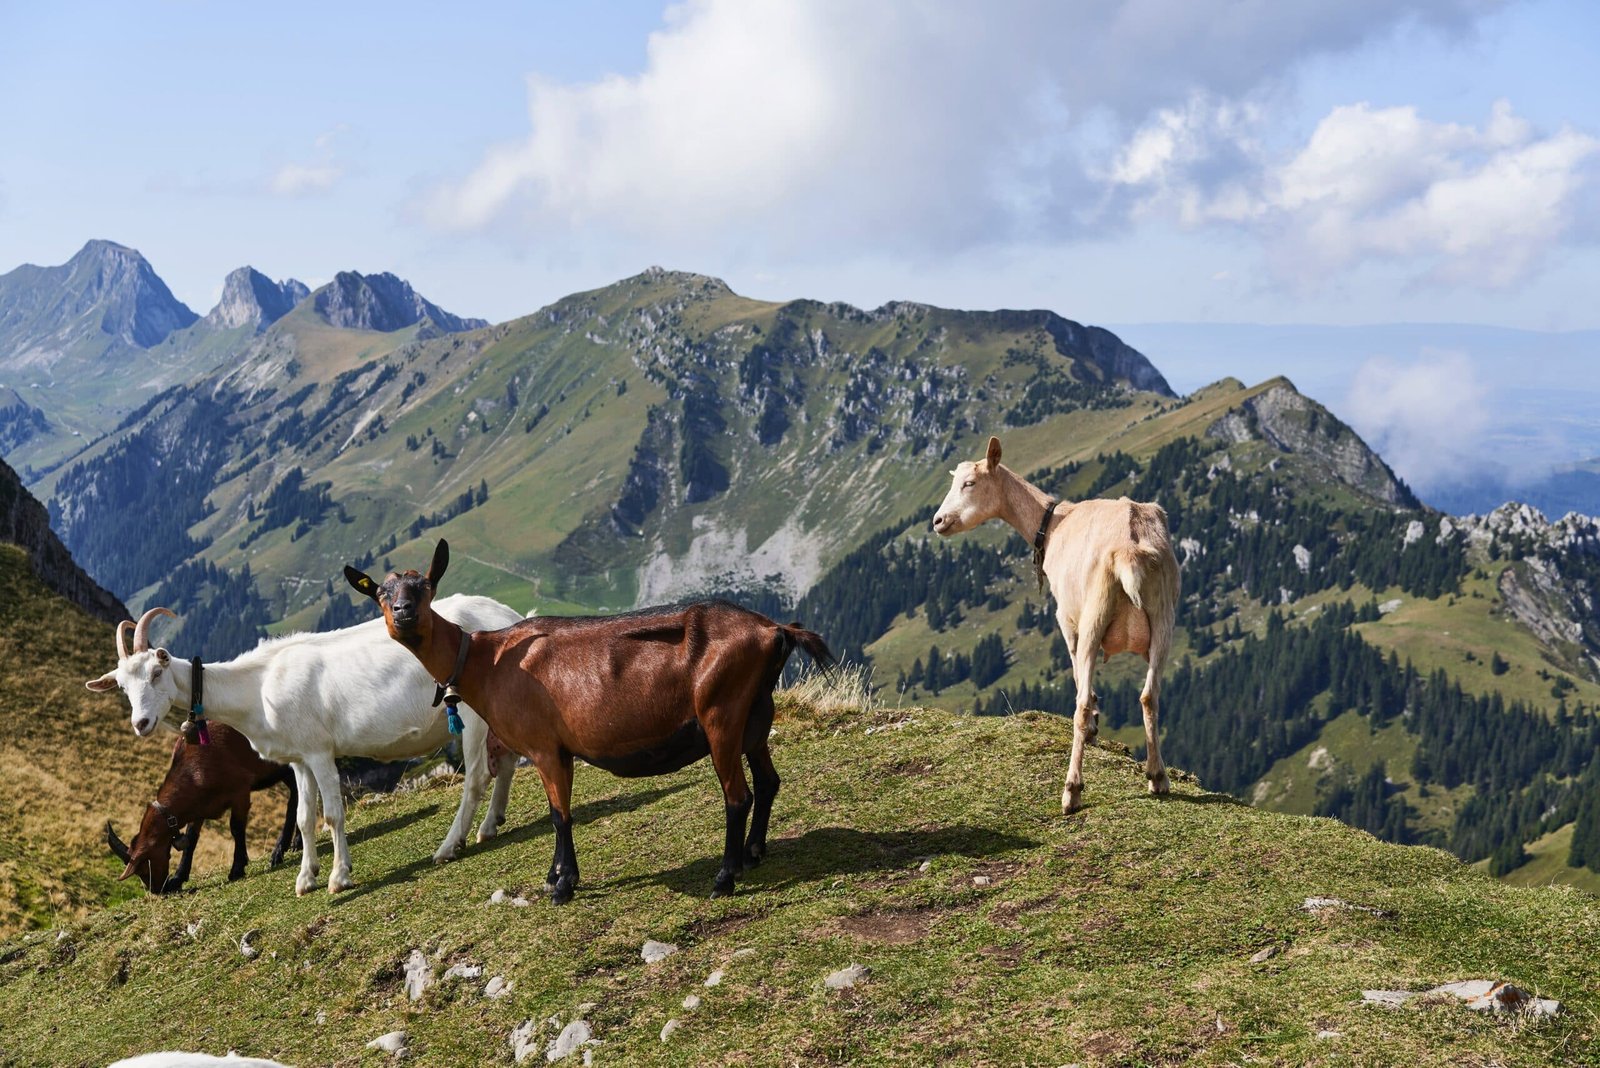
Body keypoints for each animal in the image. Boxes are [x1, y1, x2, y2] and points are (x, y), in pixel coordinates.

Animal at [104, 716, 300, 895]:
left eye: (145, 866)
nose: (157, 890)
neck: (194, 770)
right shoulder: (199, 807)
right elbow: (191, 838)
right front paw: (178, 877)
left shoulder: (241, 791)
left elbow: (236, 828)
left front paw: (237, 868)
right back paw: (295, 844)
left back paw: (278, 852)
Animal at [342, 543, 832, 901]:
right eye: (381, 592)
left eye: (425, 586)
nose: (404, 613)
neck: (487, 659)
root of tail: (773, 630)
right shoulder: (558, 750)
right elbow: (556, 812)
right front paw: (553, 875)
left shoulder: (544, 747)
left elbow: (561, 816)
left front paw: (563, 885)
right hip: (755, 715)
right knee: (768, 781)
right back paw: (753, 853)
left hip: (721, 715)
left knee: (738, 795)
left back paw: (725, 877)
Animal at [934, 434, 1184, 808]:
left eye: (970, 483)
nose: (937, 521)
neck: (1052, 523)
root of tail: (1130, 550)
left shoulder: (1067, 618)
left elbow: (1079, 679)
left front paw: (1094, 724)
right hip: (1163, 620)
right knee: (1149, 697)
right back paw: (1158, 777)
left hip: (1095, 616)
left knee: (1079, 704)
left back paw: (1072, 790)